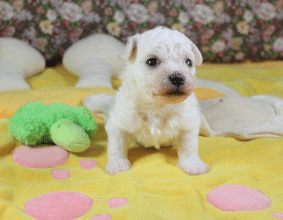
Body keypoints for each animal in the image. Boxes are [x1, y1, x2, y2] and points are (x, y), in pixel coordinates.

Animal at [103, 27, 209, 175]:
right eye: (151, 61)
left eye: (188, 62)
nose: (178, 78)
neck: (158, 105)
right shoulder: (119, 123)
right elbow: (116, 145)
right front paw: (117, 164)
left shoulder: (188, 124)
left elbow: (189, 146)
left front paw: (193, 164)